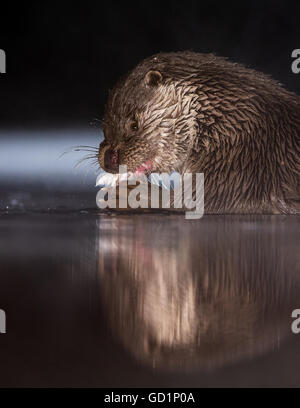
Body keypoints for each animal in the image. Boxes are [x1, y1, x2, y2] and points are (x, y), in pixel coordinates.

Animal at [98, 51, 300, 214]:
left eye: (134, 125)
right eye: (104, 125)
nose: (109, 158)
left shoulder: (240, 163)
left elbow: (196, 200)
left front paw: (131, 194)